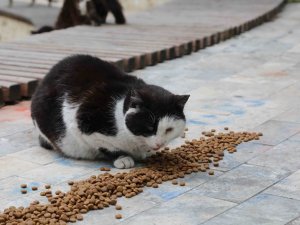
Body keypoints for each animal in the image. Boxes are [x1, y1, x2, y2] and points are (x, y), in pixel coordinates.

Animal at [31, 55, 190, 169]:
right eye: (149, 127)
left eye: (169, 129)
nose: (158, 144)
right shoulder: (83, 124)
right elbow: (108, 147)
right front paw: (123, 158)